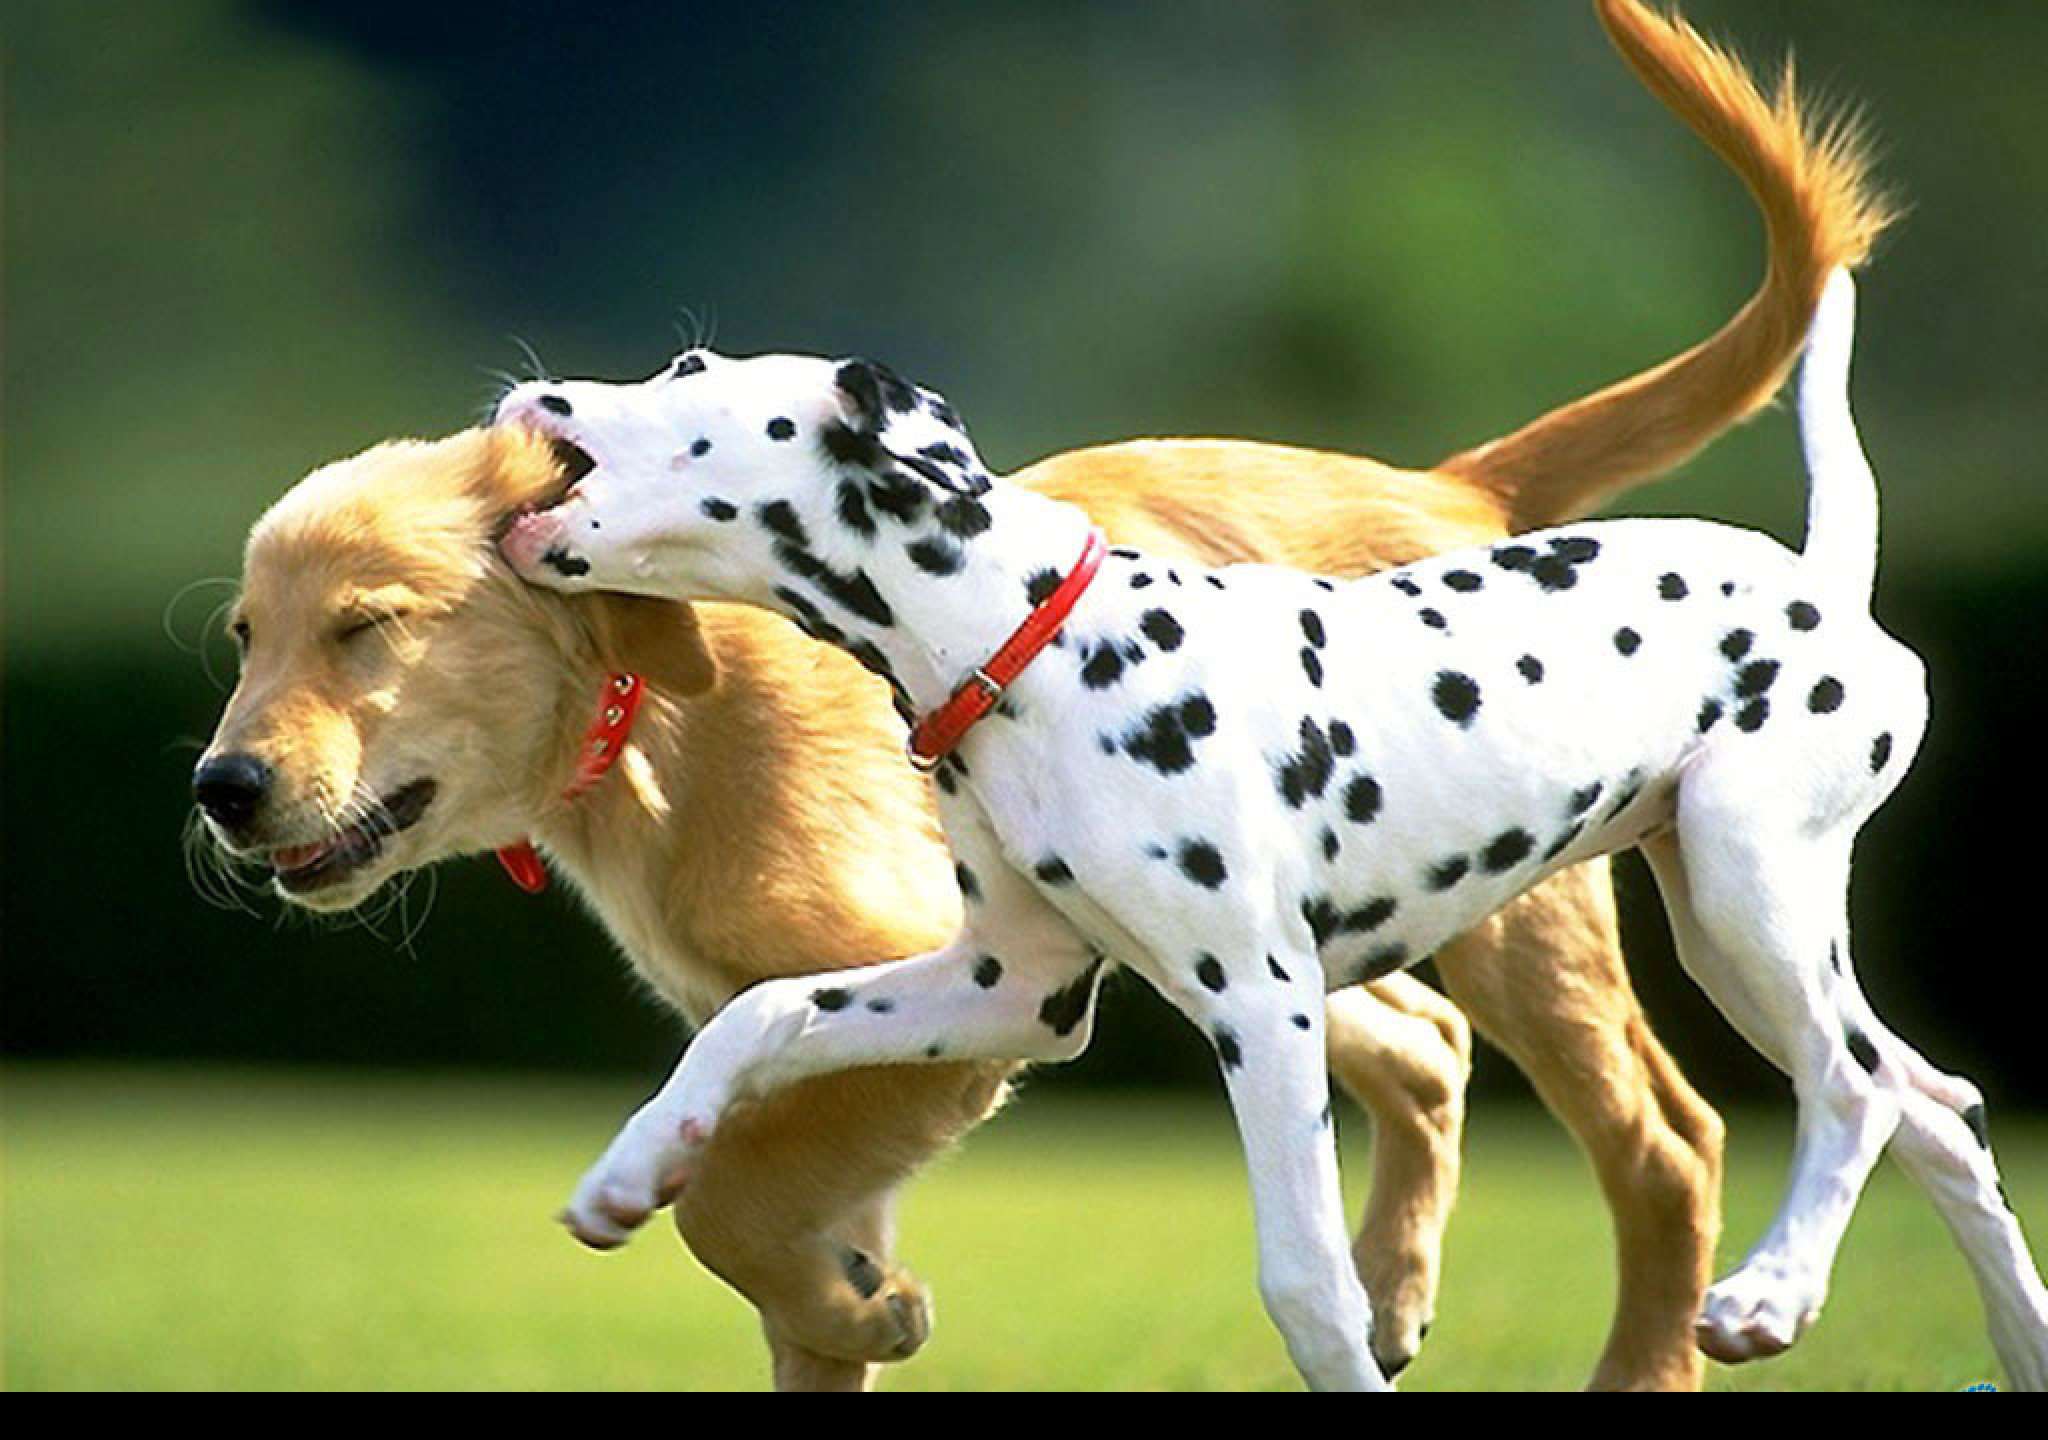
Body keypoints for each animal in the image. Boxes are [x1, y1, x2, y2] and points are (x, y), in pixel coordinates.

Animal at [192, 2, 1884, 1392]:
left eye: (367, 629)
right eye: (246, 639)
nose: (221, 790)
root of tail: (1454, 486)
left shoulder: (1001, 1012)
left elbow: (744, 1215)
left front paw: (851, 1295)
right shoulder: (991, 984)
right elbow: (755, 1096)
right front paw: (723, 1225)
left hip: (1576, 927)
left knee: (1684, 1135)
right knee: (1449, 1051)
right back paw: (1406, 1286)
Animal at [495, 272, 2048, 1392]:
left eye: (688, 377)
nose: (526, 391)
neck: (1028, 640)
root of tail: (1824, 584)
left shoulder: (1262, 1002)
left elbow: (1308, 1286)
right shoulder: (1009, 988)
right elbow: (757, 1014)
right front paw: (637, 1168)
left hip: (1742, 892)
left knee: (1853, 1094)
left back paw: (1769, 1297)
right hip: (1743, 930)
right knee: (1941, 1111)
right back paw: (2018, 1342)